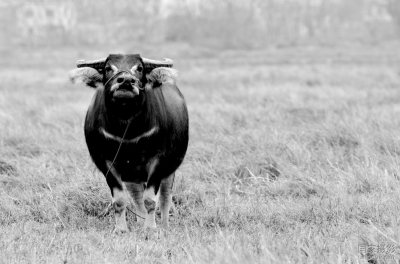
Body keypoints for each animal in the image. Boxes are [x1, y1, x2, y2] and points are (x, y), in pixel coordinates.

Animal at [69, 54, 189, 233]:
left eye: (139, 68)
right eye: (108, 68)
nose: (126, 81)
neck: (126, 126)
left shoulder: (158, 162)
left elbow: (150, 199)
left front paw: (150, 229)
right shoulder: (106, 163)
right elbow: (120, 200)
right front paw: (121, 229)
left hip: (169, 168)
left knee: (165, 195)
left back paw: (164, 225)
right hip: (132, 174)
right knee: (137, 196)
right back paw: (140, 223)